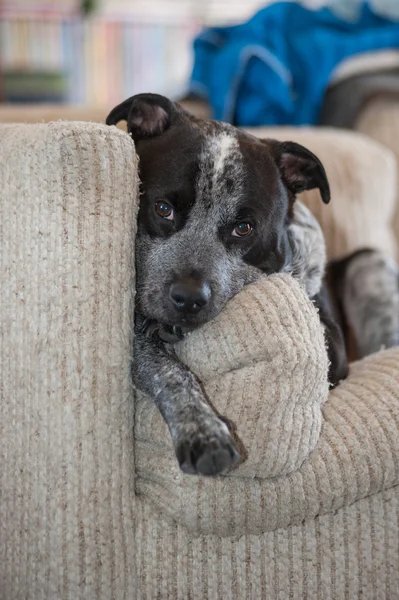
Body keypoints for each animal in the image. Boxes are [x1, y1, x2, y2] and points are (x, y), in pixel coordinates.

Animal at [106, 94, 399, 478]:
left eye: (244, 228)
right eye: (163, 208)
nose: (188, 298)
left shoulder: (331, 346)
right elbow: (166, 369)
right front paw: (203, 431)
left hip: (368, 265)